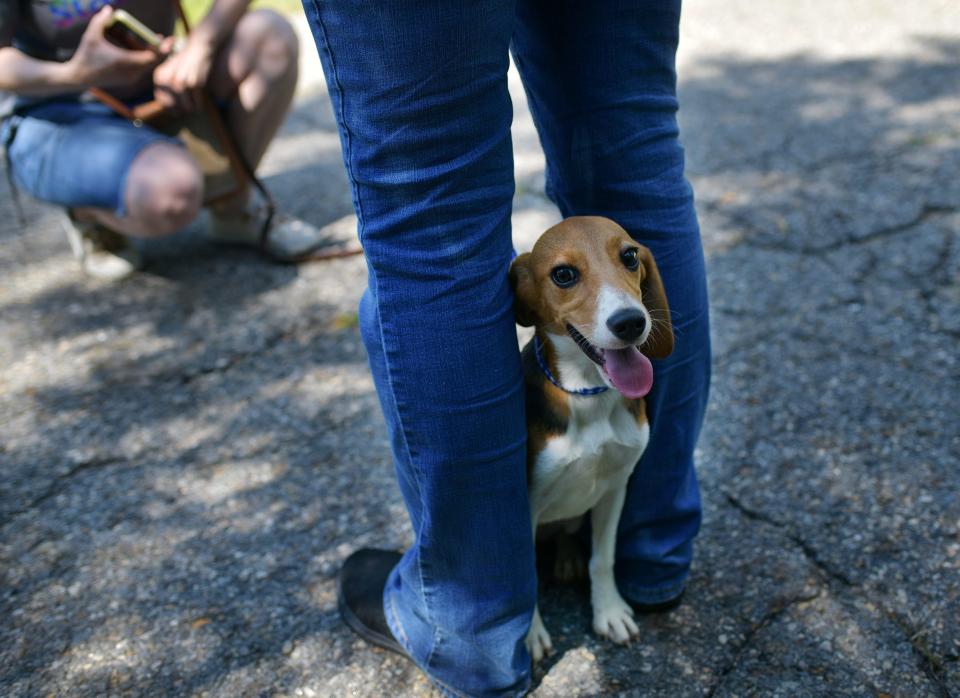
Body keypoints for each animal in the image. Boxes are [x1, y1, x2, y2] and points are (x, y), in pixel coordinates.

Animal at [510, 216, 676, 656]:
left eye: (630, 256)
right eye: (564, 274)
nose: (631, 322)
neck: (588, 394)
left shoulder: (615, 487)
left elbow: (603, 559)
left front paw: (609, 613)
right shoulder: (527, 504)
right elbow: (526, 575)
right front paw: (531, 634)